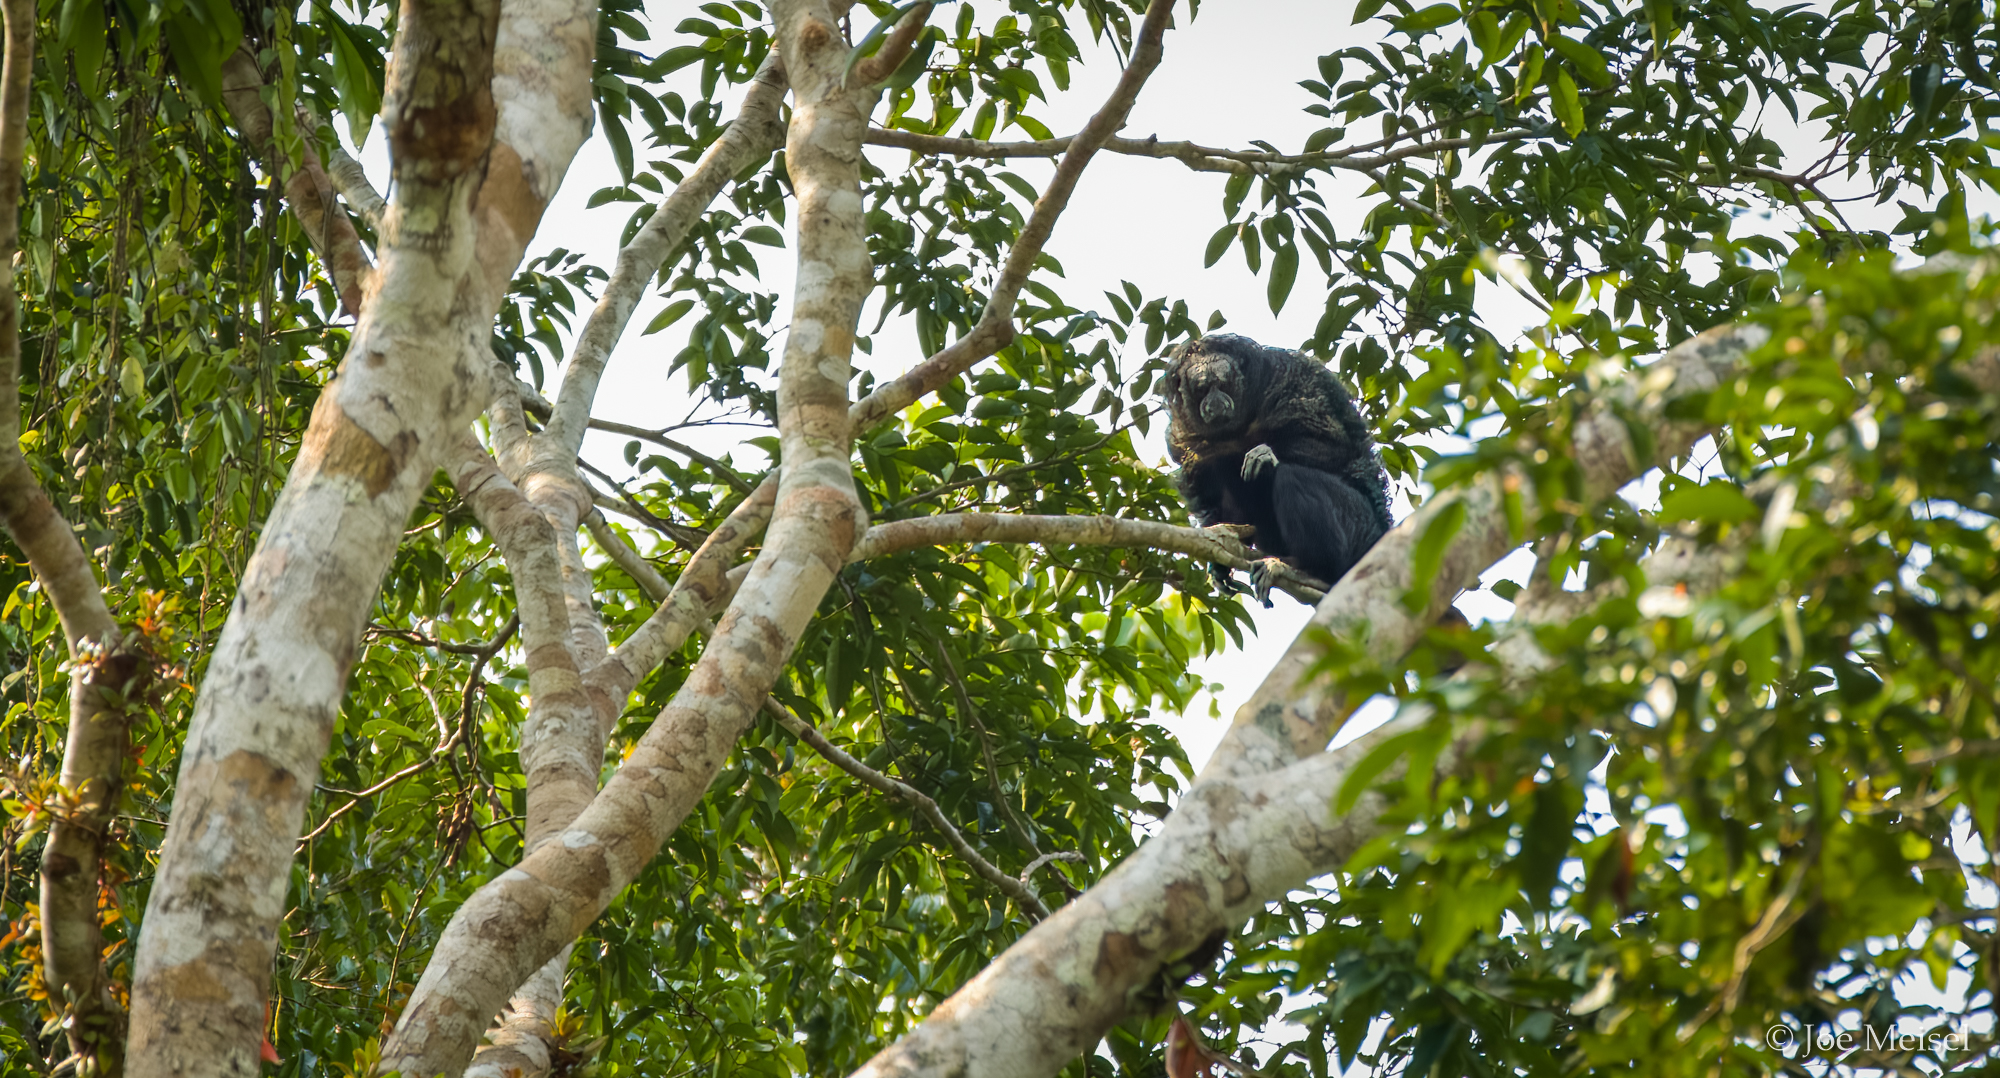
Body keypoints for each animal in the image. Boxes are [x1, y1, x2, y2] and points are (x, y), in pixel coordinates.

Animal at [1160, 336, 1392, 604]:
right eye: (1201, 389)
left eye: (1222, 384)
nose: (1215, 402)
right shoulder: (1184, 440)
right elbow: (1216, 502)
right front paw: (1219, 566)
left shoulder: (1292, 384)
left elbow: (1335, 446)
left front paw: (1265, 454)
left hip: (1361, 528)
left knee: (1293, 477)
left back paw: (1309, 571)